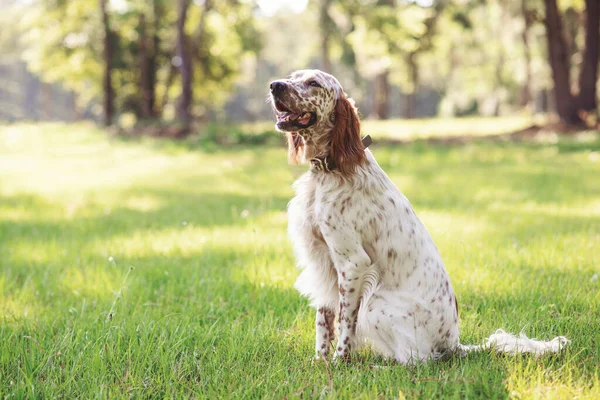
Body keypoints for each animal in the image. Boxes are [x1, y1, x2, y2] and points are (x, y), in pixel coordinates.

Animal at [270, 70, 568, 364]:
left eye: (313, 83)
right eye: (293, 76)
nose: (275, 85)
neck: (331, 168)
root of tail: (454, 343)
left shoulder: (352, 262)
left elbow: (345, 322)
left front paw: (339, 362)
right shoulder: (322, 260)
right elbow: (324, 318)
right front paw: (320, 361)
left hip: (375, 302)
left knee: (416, 359)